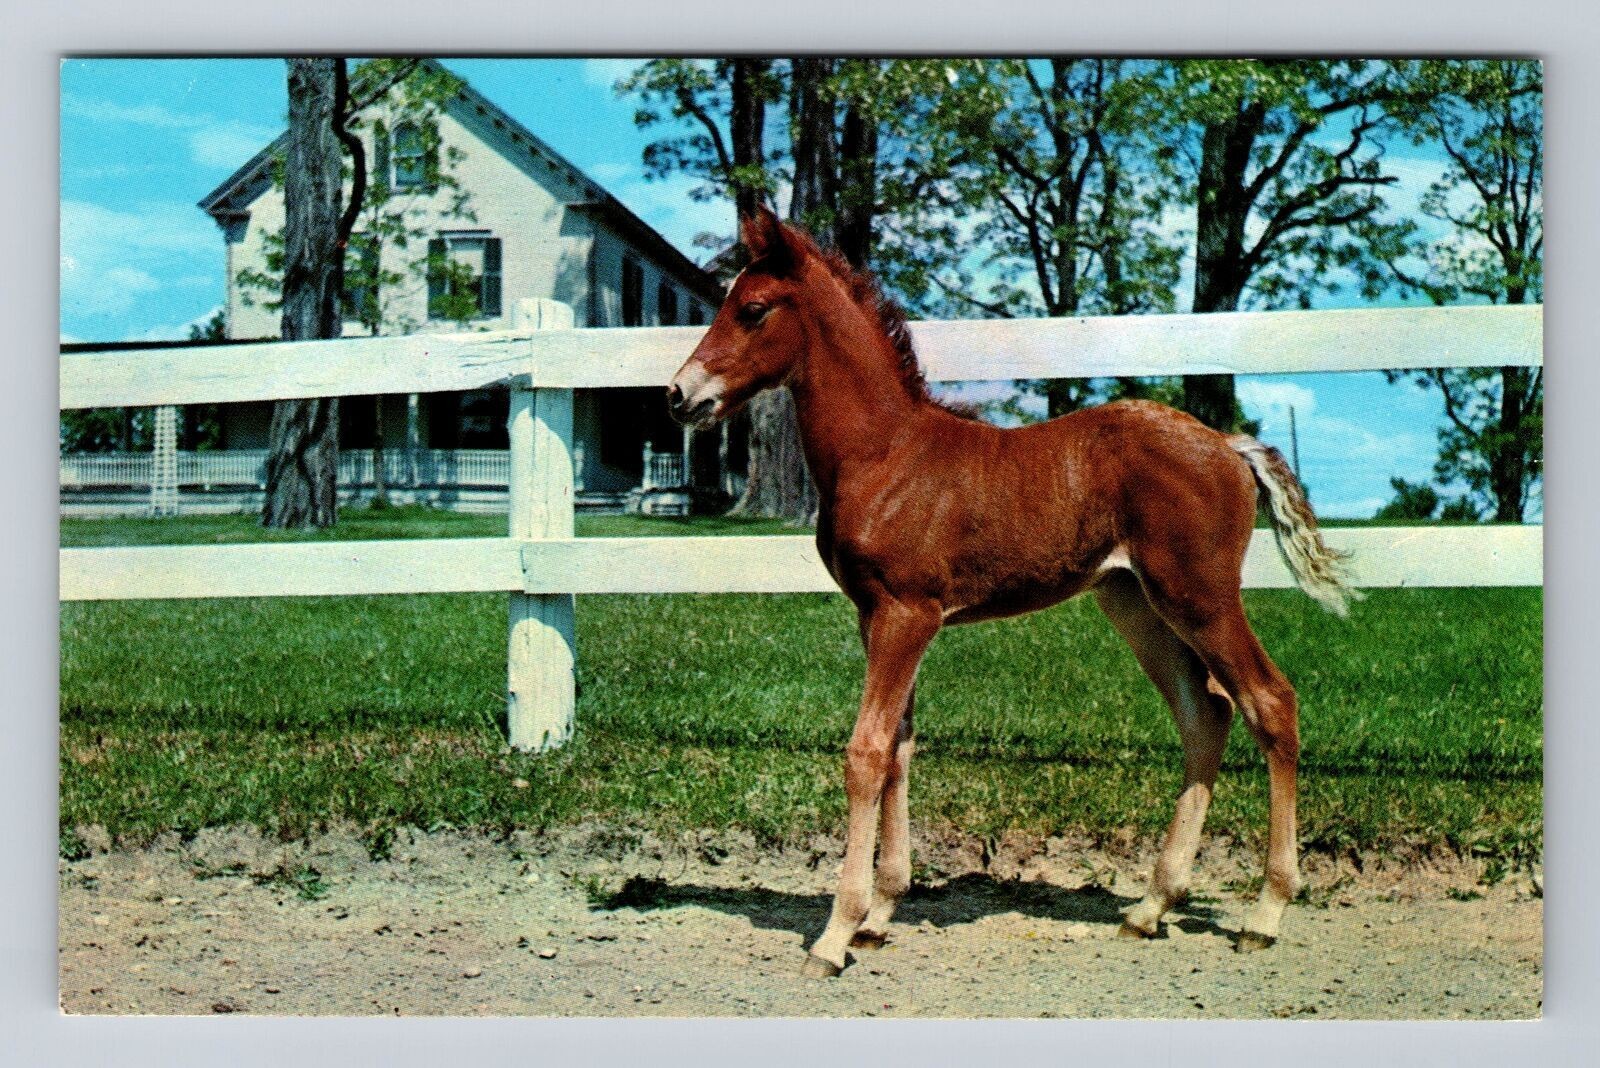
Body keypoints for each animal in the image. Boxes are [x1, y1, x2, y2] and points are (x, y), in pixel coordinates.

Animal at [667, 208, 1359, 979]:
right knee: (1204, 713)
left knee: (1270, 702)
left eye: (753, 309)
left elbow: (866, 753)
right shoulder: (877, 617)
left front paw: (835, 935)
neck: (884, 452)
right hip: (1135, 603)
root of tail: (1229, 445)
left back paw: (1264, 913)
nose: (677, 396)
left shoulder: (905, 614)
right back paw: (1151, 906)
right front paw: (880, 915)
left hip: (1199, 597)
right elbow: (901, 747)